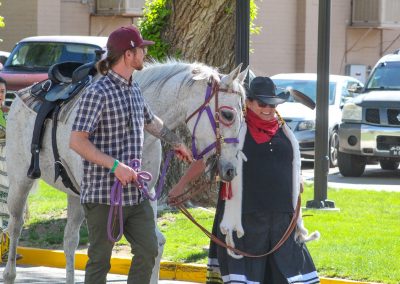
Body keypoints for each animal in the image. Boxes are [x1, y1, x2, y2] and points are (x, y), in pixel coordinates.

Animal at [3, 59, 247, 282]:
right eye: (228, 115)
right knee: (15, 226)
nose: (230, 170)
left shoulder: (146, 193)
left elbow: (156, 242)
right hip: (20, 182)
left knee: (69, 240)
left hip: (74, 195)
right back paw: (10, 274)